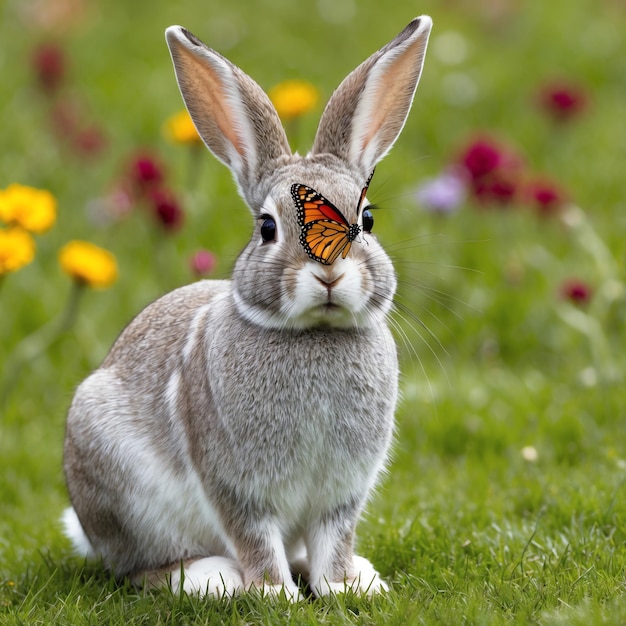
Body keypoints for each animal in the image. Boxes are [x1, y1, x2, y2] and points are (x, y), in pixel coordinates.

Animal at [63, 14, 432, 596]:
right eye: (267, 227)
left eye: (367, 220)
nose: (329, 272)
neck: (313, 335)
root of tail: (87, 529)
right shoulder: (236, 487)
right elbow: (254, 537)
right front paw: (274, 593)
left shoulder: (341, 496)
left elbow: (333, 541)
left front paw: (341, 587)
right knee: (140, 568)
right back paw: (211, 579)